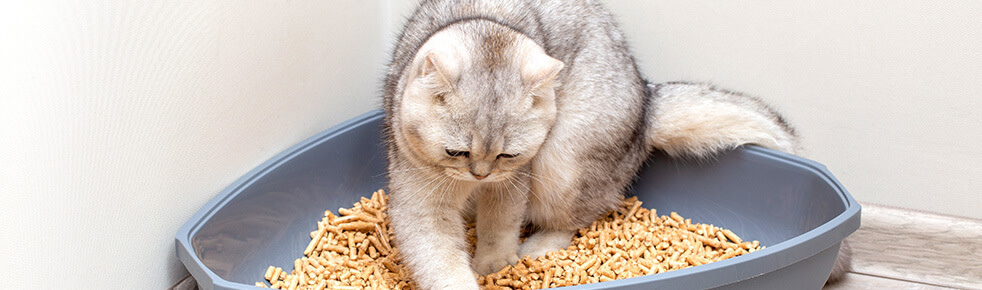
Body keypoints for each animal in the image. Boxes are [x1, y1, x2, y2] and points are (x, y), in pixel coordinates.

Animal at [380, 1, 820, 288]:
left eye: (508, 154)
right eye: (456, 152)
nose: (480, 175)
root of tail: (646, 103)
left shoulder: (515, 179)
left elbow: (500, 225)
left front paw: (494, 264)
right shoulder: (420, 196)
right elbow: (439, 257)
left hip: (563, 161)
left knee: (569, 219)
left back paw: (537, 246)